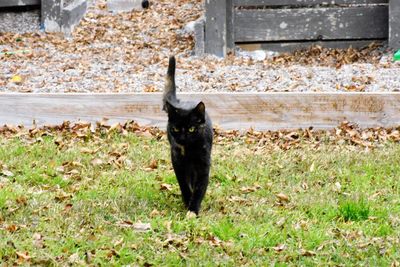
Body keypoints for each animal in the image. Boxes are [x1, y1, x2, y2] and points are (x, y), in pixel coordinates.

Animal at [162, 56, 212, 216]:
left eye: (191, 129)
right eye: (176, 128)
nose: (182, 138)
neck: (190, 151)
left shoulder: (203, 165)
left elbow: (199, 188)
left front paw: (193, 209)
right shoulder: (178, 163)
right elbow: (184, 184)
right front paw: (187, 200)